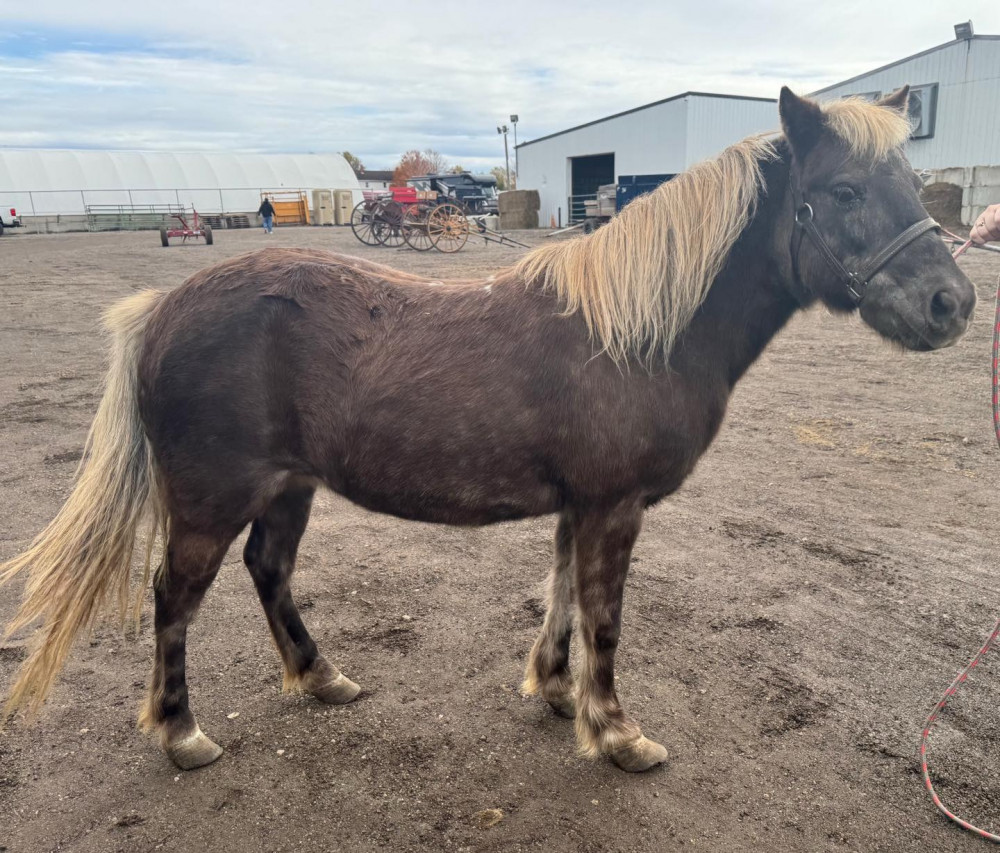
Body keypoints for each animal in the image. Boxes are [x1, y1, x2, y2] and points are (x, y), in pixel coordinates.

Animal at [0, 87, 976, 773]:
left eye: (909, 186)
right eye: (843, 191)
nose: (951, 303)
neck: (636, 330)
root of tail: (161, 309)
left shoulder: (582, 504)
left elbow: (563, 595)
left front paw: (555, 691)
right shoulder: (615, 505)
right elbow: (606, 618)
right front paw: (617, 733)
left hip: (288, 488)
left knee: (268, 572)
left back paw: (321, 676)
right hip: (211, 499)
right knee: (174, 598)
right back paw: (182, 732)